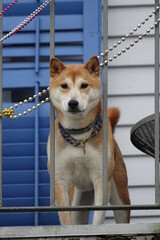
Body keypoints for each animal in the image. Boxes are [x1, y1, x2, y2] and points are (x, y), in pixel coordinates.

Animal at [47, 55, 130, 225]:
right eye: (64, 86)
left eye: (84, 85)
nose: (73, 103)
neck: (79, 136)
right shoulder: (59, 179)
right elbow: (66, 221)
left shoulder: (101, 179)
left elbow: (97, 219)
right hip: (78, 200)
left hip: (120, 198)